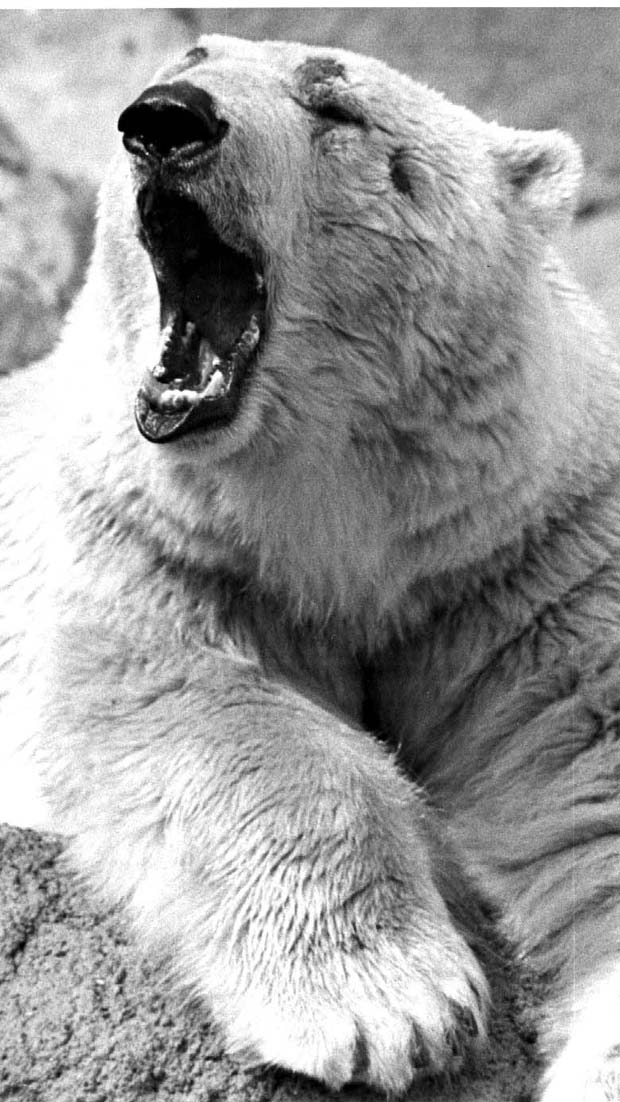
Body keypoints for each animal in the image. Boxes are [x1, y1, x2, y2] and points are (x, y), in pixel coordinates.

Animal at [2, 32, 620, 1101]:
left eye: (335, 106)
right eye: (195, 49)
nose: (165, 116)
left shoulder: (528, 563)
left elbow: (592, 767)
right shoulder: (152, 534)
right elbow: (192, 700)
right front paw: (392, 1008)